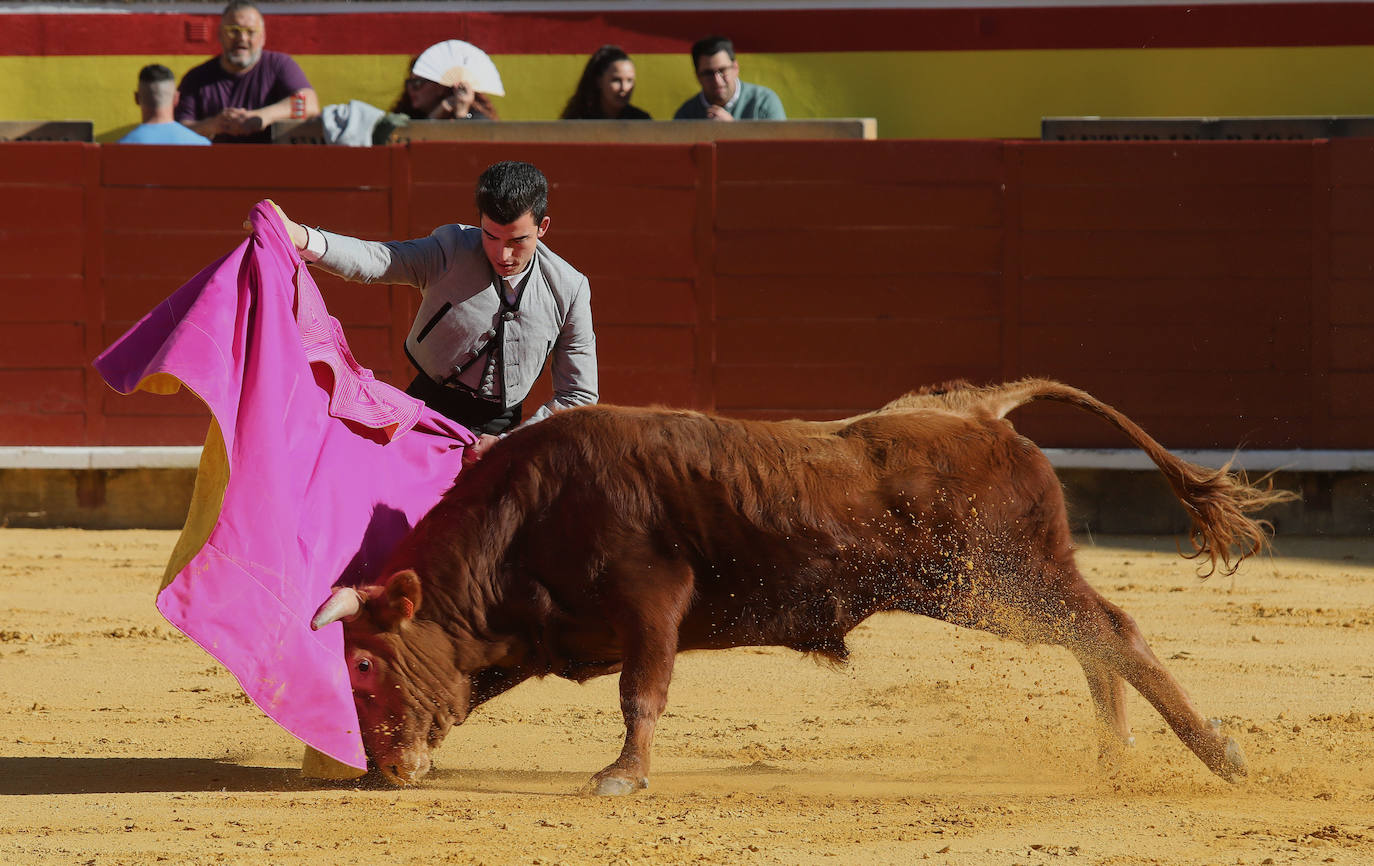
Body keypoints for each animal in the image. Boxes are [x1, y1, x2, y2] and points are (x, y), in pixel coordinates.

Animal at [314, 376, 1297, 797]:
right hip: (996, 588)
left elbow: (642, 694)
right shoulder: (546, 633)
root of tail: (979, 407)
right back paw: (1113, 757)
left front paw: (621, 777)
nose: (381, 771)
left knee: (1114, 632)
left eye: (362, 666)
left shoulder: (650, 598)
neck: (527, 514)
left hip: (998, 578)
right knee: (1092, 642)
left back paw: (1219, 755)